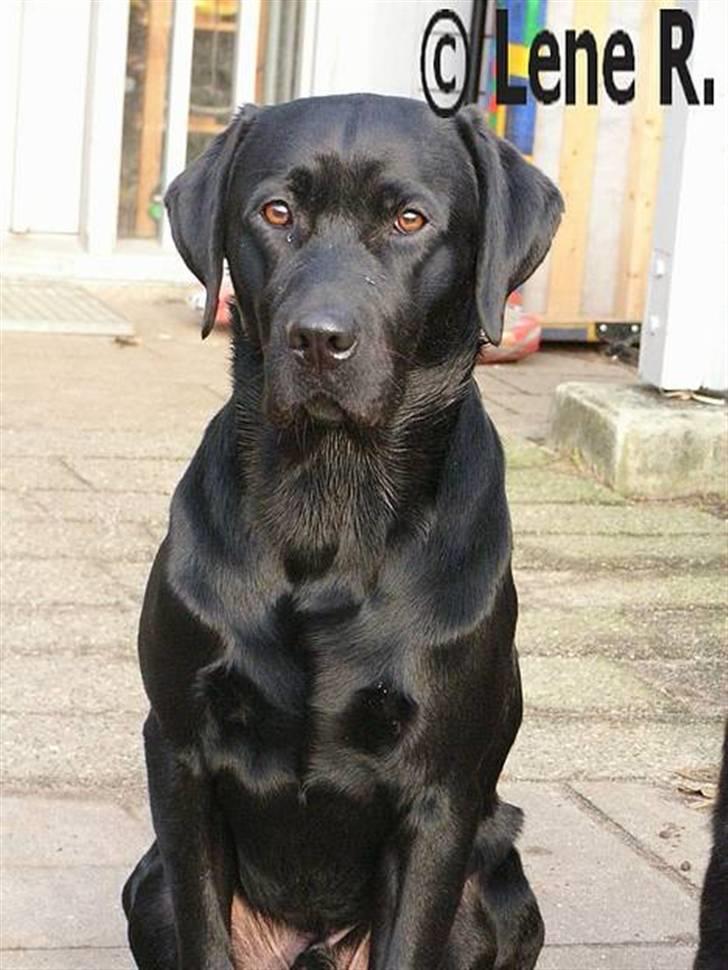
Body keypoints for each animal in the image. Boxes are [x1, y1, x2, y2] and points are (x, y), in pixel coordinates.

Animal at [122, 92, 564, 968]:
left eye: (409, 219)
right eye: (276, 212)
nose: (319, 339)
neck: (330, 490)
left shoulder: (439, 795)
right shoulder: (180, 754)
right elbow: (203, 931)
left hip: (496, 895)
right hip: (146, 885)